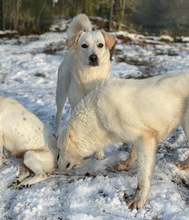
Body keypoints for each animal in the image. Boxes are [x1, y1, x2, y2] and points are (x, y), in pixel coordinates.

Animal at [55, 13, 116, 159]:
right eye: (84, 45)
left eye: (100, 45)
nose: (93, 57)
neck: (91, 77)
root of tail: (70, 51)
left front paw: (99, 154)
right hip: (61, 91)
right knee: (58, 114)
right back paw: (58, 132)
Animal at [57, 70, 189, 208]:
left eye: (60, 149)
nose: (57, 165)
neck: (97, 116)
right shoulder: (136, 136)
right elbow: (132, 152)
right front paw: (126, 164)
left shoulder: (145, 138)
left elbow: (143, 175)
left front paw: (138, 199)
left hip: (186, 124)